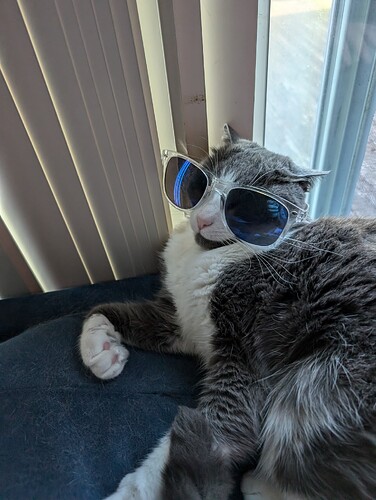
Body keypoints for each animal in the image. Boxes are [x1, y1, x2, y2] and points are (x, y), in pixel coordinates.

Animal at [80, 123, 376, 498]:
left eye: (247, 207)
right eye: (199, 183)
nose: (204, 220)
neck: (208, 253)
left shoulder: (247, 351)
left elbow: (223, 432)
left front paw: (131, 491)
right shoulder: (181, 320)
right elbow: (107, 311)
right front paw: (102, 349)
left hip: (316, 384)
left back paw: (257, 483)